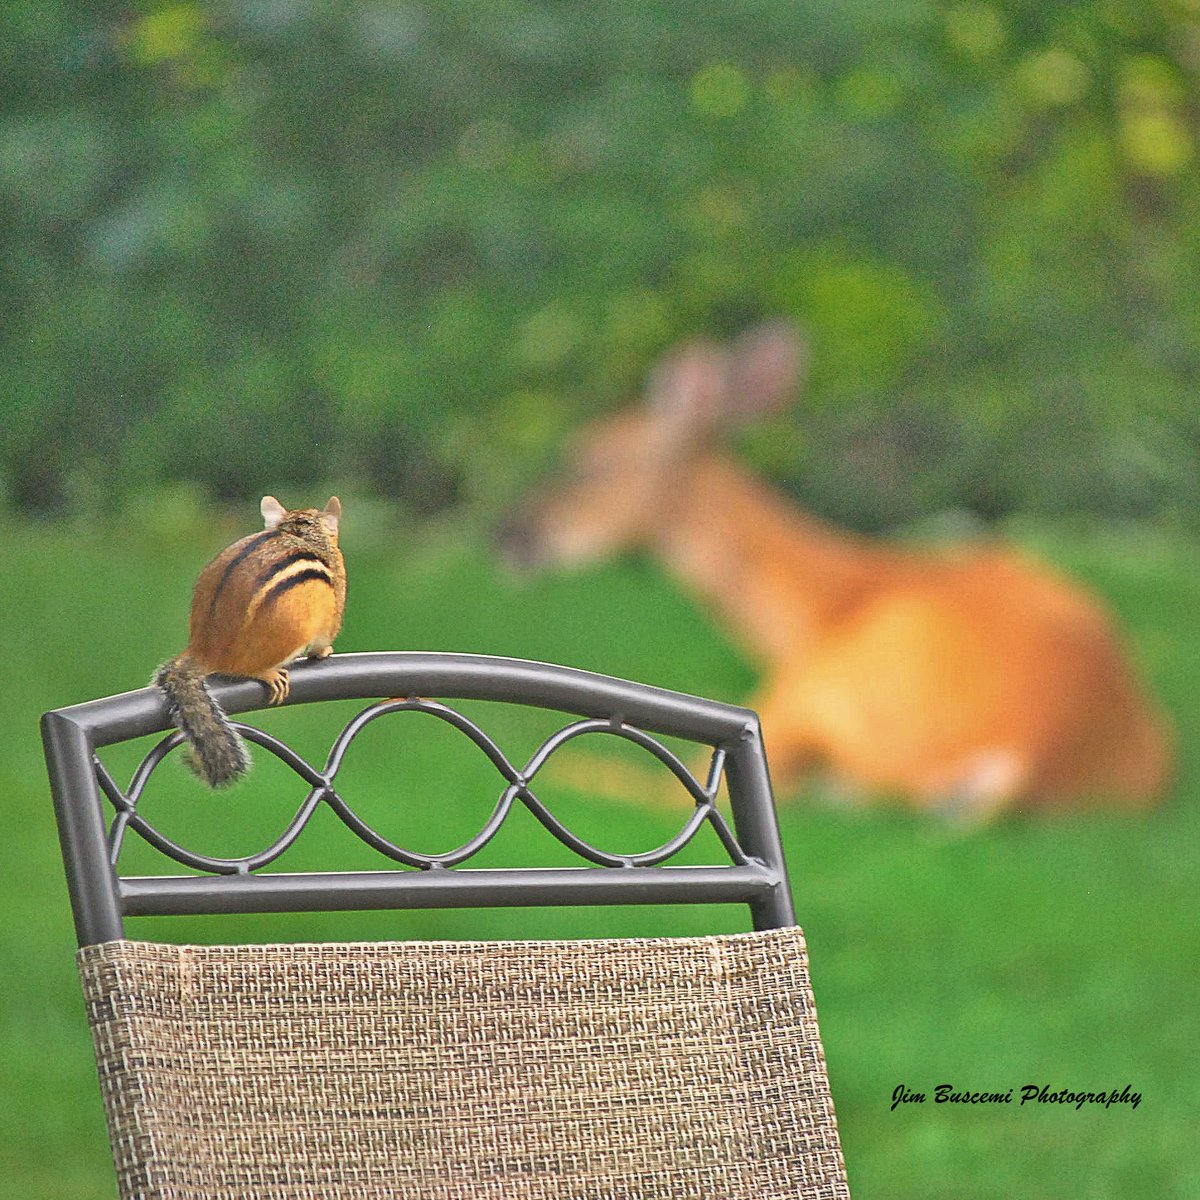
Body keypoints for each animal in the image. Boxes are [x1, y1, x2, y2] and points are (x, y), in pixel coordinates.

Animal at [155, 496, 347, 788]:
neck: (298, 533)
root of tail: (205, 649)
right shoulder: (333, 604)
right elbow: (325, 636)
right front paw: (324, 651)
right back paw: (268, 674)